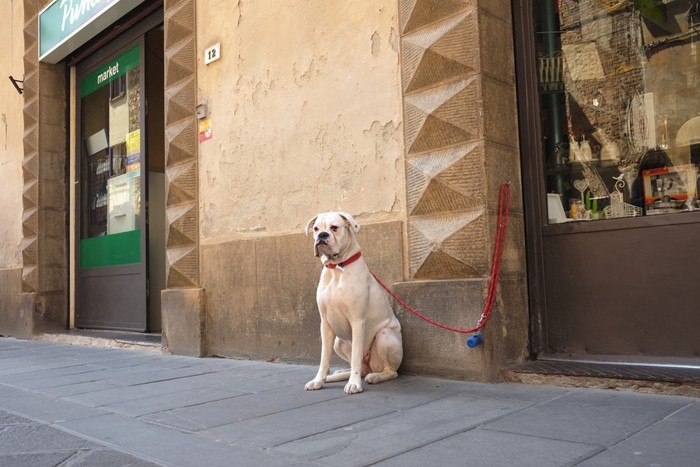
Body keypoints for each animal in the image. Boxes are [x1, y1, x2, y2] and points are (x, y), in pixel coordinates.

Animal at [304, 213, 402, 394]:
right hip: (338, 341)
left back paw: (375, 376)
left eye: (334, 227)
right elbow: (324, 358)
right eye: (316, 228)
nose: (322, 235)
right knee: (361, 368)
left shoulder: (357, 321)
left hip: (384, 336)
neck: (337, 268)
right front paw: (318, 380)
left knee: (390, 371)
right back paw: (337, 375)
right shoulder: (325, 324)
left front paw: (354, 384)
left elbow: (356, 356)